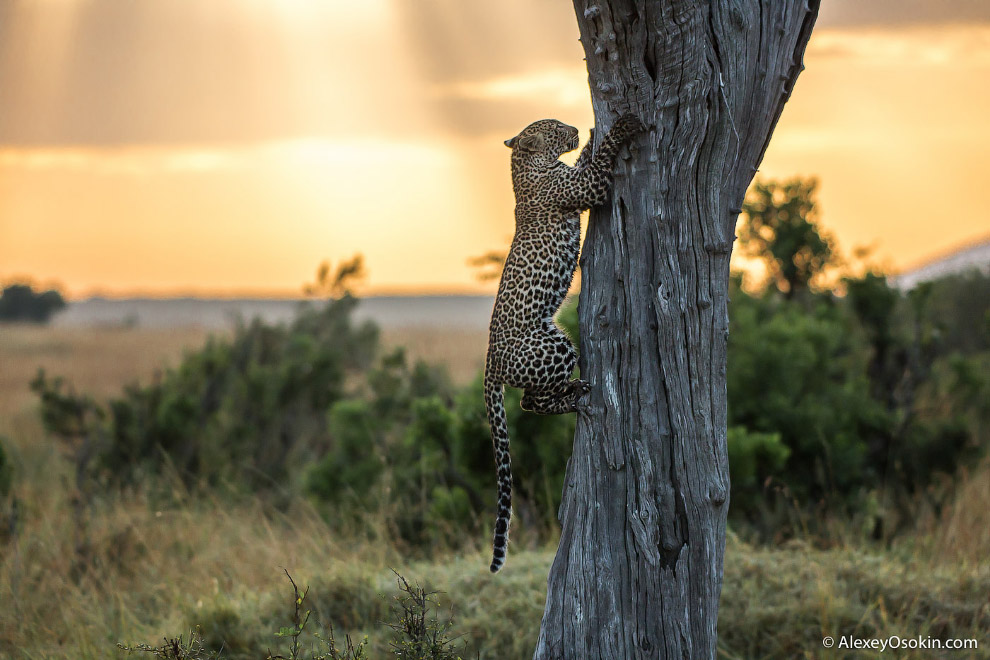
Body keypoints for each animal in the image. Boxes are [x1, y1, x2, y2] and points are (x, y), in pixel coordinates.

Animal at [486, 113, 644, 572]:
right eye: (554, 126)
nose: (573, 127)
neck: (525, 165)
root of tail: (490, 363)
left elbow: (591, 159)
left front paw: (590, 137)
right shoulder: (585, 188)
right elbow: (601, 161)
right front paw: (616, 127)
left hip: (555, 337)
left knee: (530, 399)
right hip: (552, 347)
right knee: (530, 402)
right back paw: (576, 395)